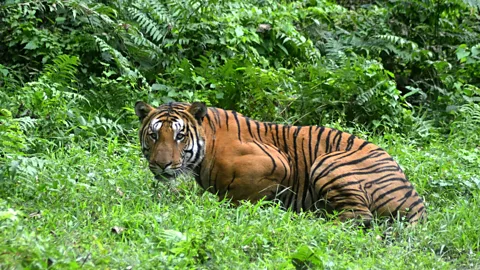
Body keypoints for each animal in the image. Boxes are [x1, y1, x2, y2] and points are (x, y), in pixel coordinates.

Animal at [133, 100, 426, 225]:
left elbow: (240, 196)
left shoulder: (276, 163)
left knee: (359, 216)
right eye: (154, 135)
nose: (162, 165)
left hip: (328, 162)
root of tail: (415, 200)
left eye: (180, 136)